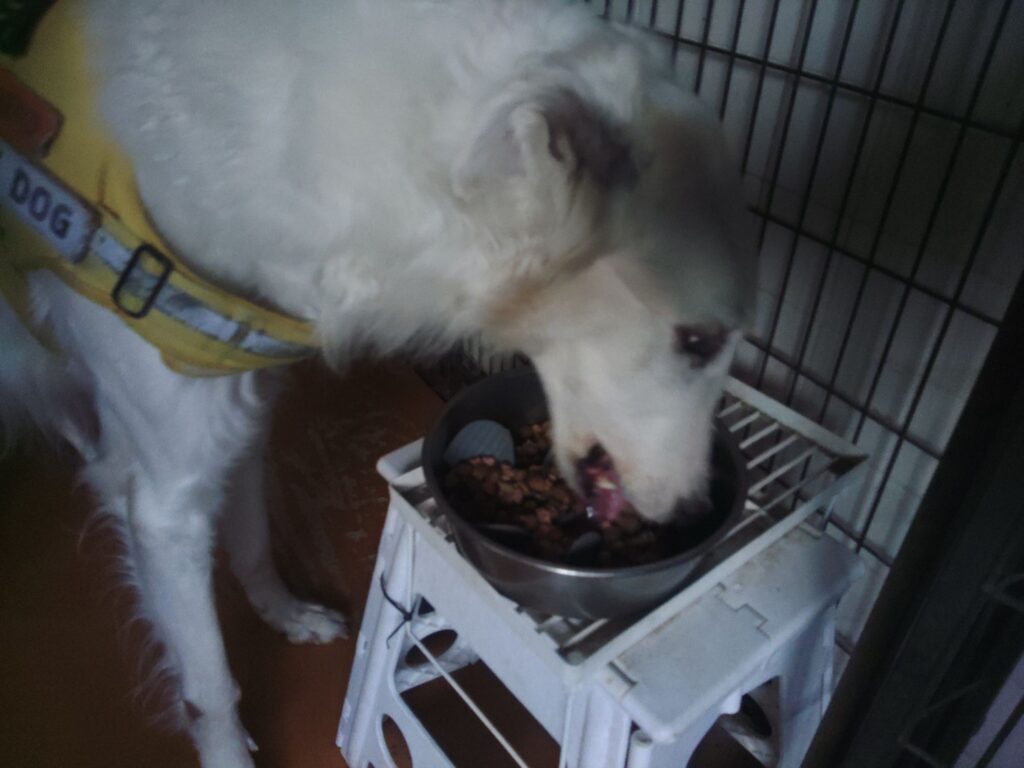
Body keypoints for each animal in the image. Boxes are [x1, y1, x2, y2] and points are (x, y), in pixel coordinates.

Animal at [0, 1, 755, 765]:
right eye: (698, 340)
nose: (697, 509)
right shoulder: (164, 500)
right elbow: (209, 688)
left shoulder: (242, 420)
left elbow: (252, 541)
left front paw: (285, 613)